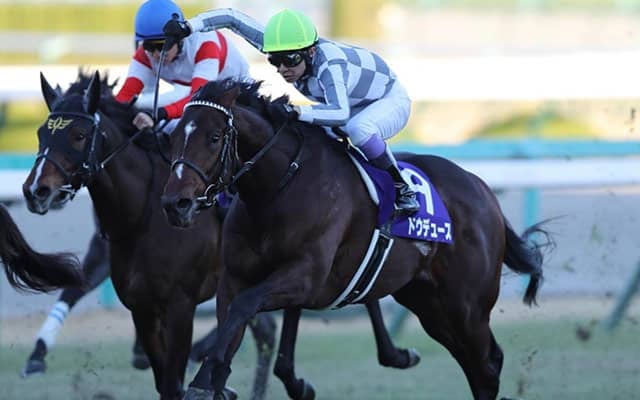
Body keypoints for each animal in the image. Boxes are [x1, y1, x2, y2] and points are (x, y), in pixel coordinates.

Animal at [22, 70, 276, 400]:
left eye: (78, 135)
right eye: (42, 133)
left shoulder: (181, 305)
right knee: (264, 329)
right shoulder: (139, 303)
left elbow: (173, 380)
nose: (35, 190)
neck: (142, 217)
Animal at [160, 78, 553, 400]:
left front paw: (203, 381)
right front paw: (213, 380)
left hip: (466, 305)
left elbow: (244, 307)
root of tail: (483, 190)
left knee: (487, 366)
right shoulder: (235, 277)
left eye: (213, 137)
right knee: (476, 363)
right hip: (428, 302)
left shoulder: (305, 276)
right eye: (174, 137)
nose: (175, 204)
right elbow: (232, 322)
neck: (278, 188)